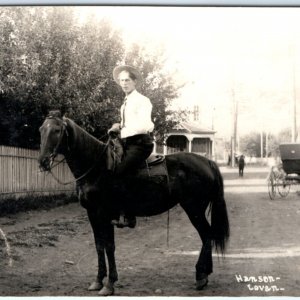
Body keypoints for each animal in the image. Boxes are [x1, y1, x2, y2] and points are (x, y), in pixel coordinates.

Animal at [38, 113, 230, 296]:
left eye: (57, 130)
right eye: (41, 129)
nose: (42, 161)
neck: (97, 167)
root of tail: (208, 162)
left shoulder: (104, 213)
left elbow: (109, 246)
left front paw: (109, 284)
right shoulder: (92, 213)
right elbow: (99, 245)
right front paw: (98, 281)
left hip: (194, 209)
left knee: (207, 235)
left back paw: (201, 277)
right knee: (207, 236)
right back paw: (205, 274)